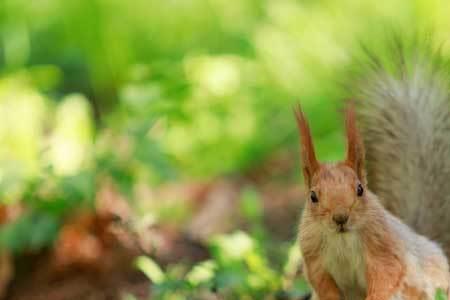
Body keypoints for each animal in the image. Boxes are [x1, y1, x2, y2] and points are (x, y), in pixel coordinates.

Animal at [294, 37, 450, 300]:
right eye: (313, 196)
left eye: (360, 189)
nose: (340, 217)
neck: (341, 239)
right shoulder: (314, 258)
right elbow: (322, 284)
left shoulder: (382, 247)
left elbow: (387, 274)